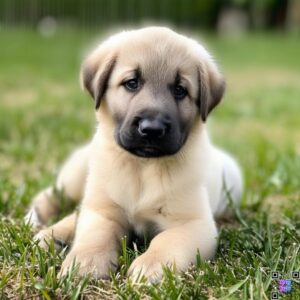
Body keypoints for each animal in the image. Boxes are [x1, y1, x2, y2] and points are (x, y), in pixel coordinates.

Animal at [24, 27, 243, 282]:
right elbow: (96, 236)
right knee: (54, 198)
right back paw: (42, 226)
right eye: (132, 83)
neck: (142, 167)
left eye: (180, 90)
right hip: (76, 178)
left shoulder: (193, 224)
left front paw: (151, 267)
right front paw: (86, 263)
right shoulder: (105, 212)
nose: (152, 129)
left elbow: (166, 242)